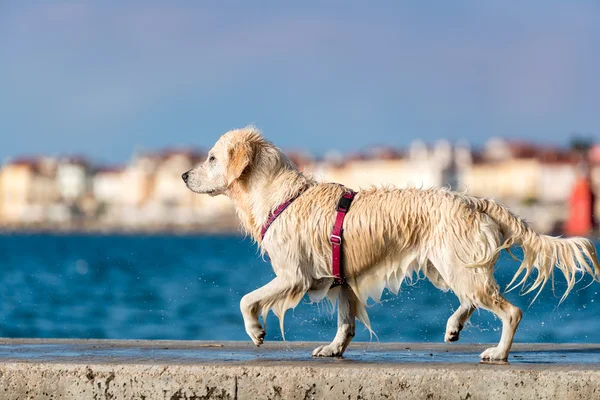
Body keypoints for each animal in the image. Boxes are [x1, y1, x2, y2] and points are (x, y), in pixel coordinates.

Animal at [183, 126, 600, 360]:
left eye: (212, 157)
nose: (185, 174)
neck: (279, 196)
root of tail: (472, 199)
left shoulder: (293, 276)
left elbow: (246, 299)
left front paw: (256, 331)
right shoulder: (342, 280)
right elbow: (346, 322)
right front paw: (334, 349)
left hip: (456, 266)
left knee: (510, 312)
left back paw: (498, 353)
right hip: (447, 267)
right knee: (470, 299)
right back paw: (454, 327)